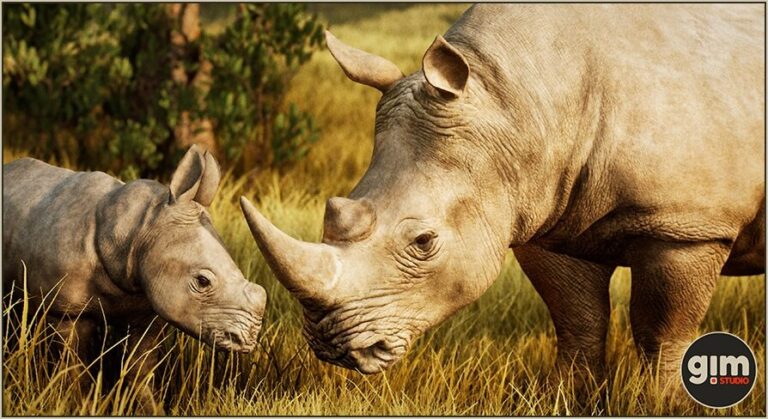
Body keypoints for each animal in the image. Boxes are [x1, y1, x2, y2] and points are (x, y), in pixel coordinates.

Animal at [3, 145, 266, 413]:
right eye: (203, 281)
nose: (248, 339)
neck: (139, 229)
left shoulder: (147, 306)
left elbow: (139, 372)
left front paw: (153, 409)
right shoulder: (66, 311)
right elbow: (74, 371)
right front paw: (83, 406)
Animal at [240, 3, 765, 386]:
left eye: (423, 242)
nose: (335, 348)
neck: (511, 102)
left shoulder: (688, 226)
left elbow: (662, 338)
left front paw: (663, 401)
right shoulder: (550, 221)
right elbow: (578, 323)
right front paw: (571, 398)